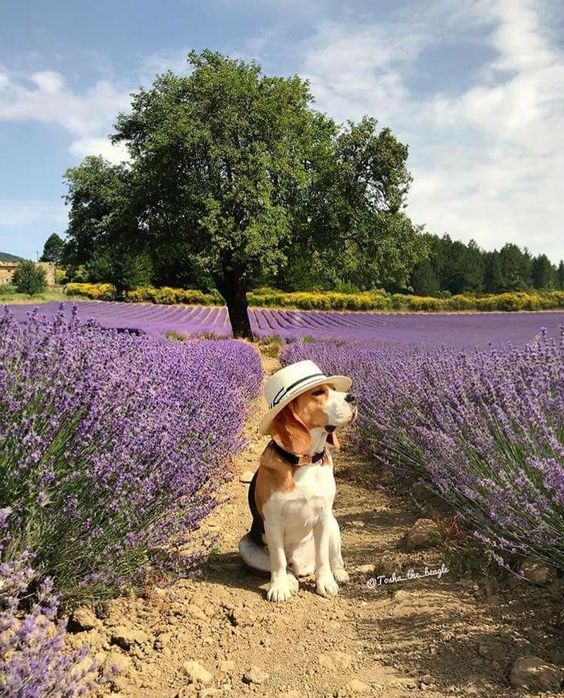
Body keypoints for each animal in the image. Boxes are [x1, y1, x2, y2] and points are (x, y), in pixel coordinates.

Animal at [239, 358, 356, 600]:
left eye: (333, 389)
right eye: (318, 392)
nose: (353, 397)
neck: (305, 461)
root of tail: (303, 567)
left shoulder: (323, 518)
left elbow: (323, 559)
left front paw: (326, 583)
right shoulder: (273, 523)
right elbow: (278, 561)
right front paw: (279, 587)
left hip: (333, 524)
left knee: (333, 558)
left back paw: (339, 573)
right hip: (244, 545)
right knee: (282, 566)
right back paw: (290, 580)